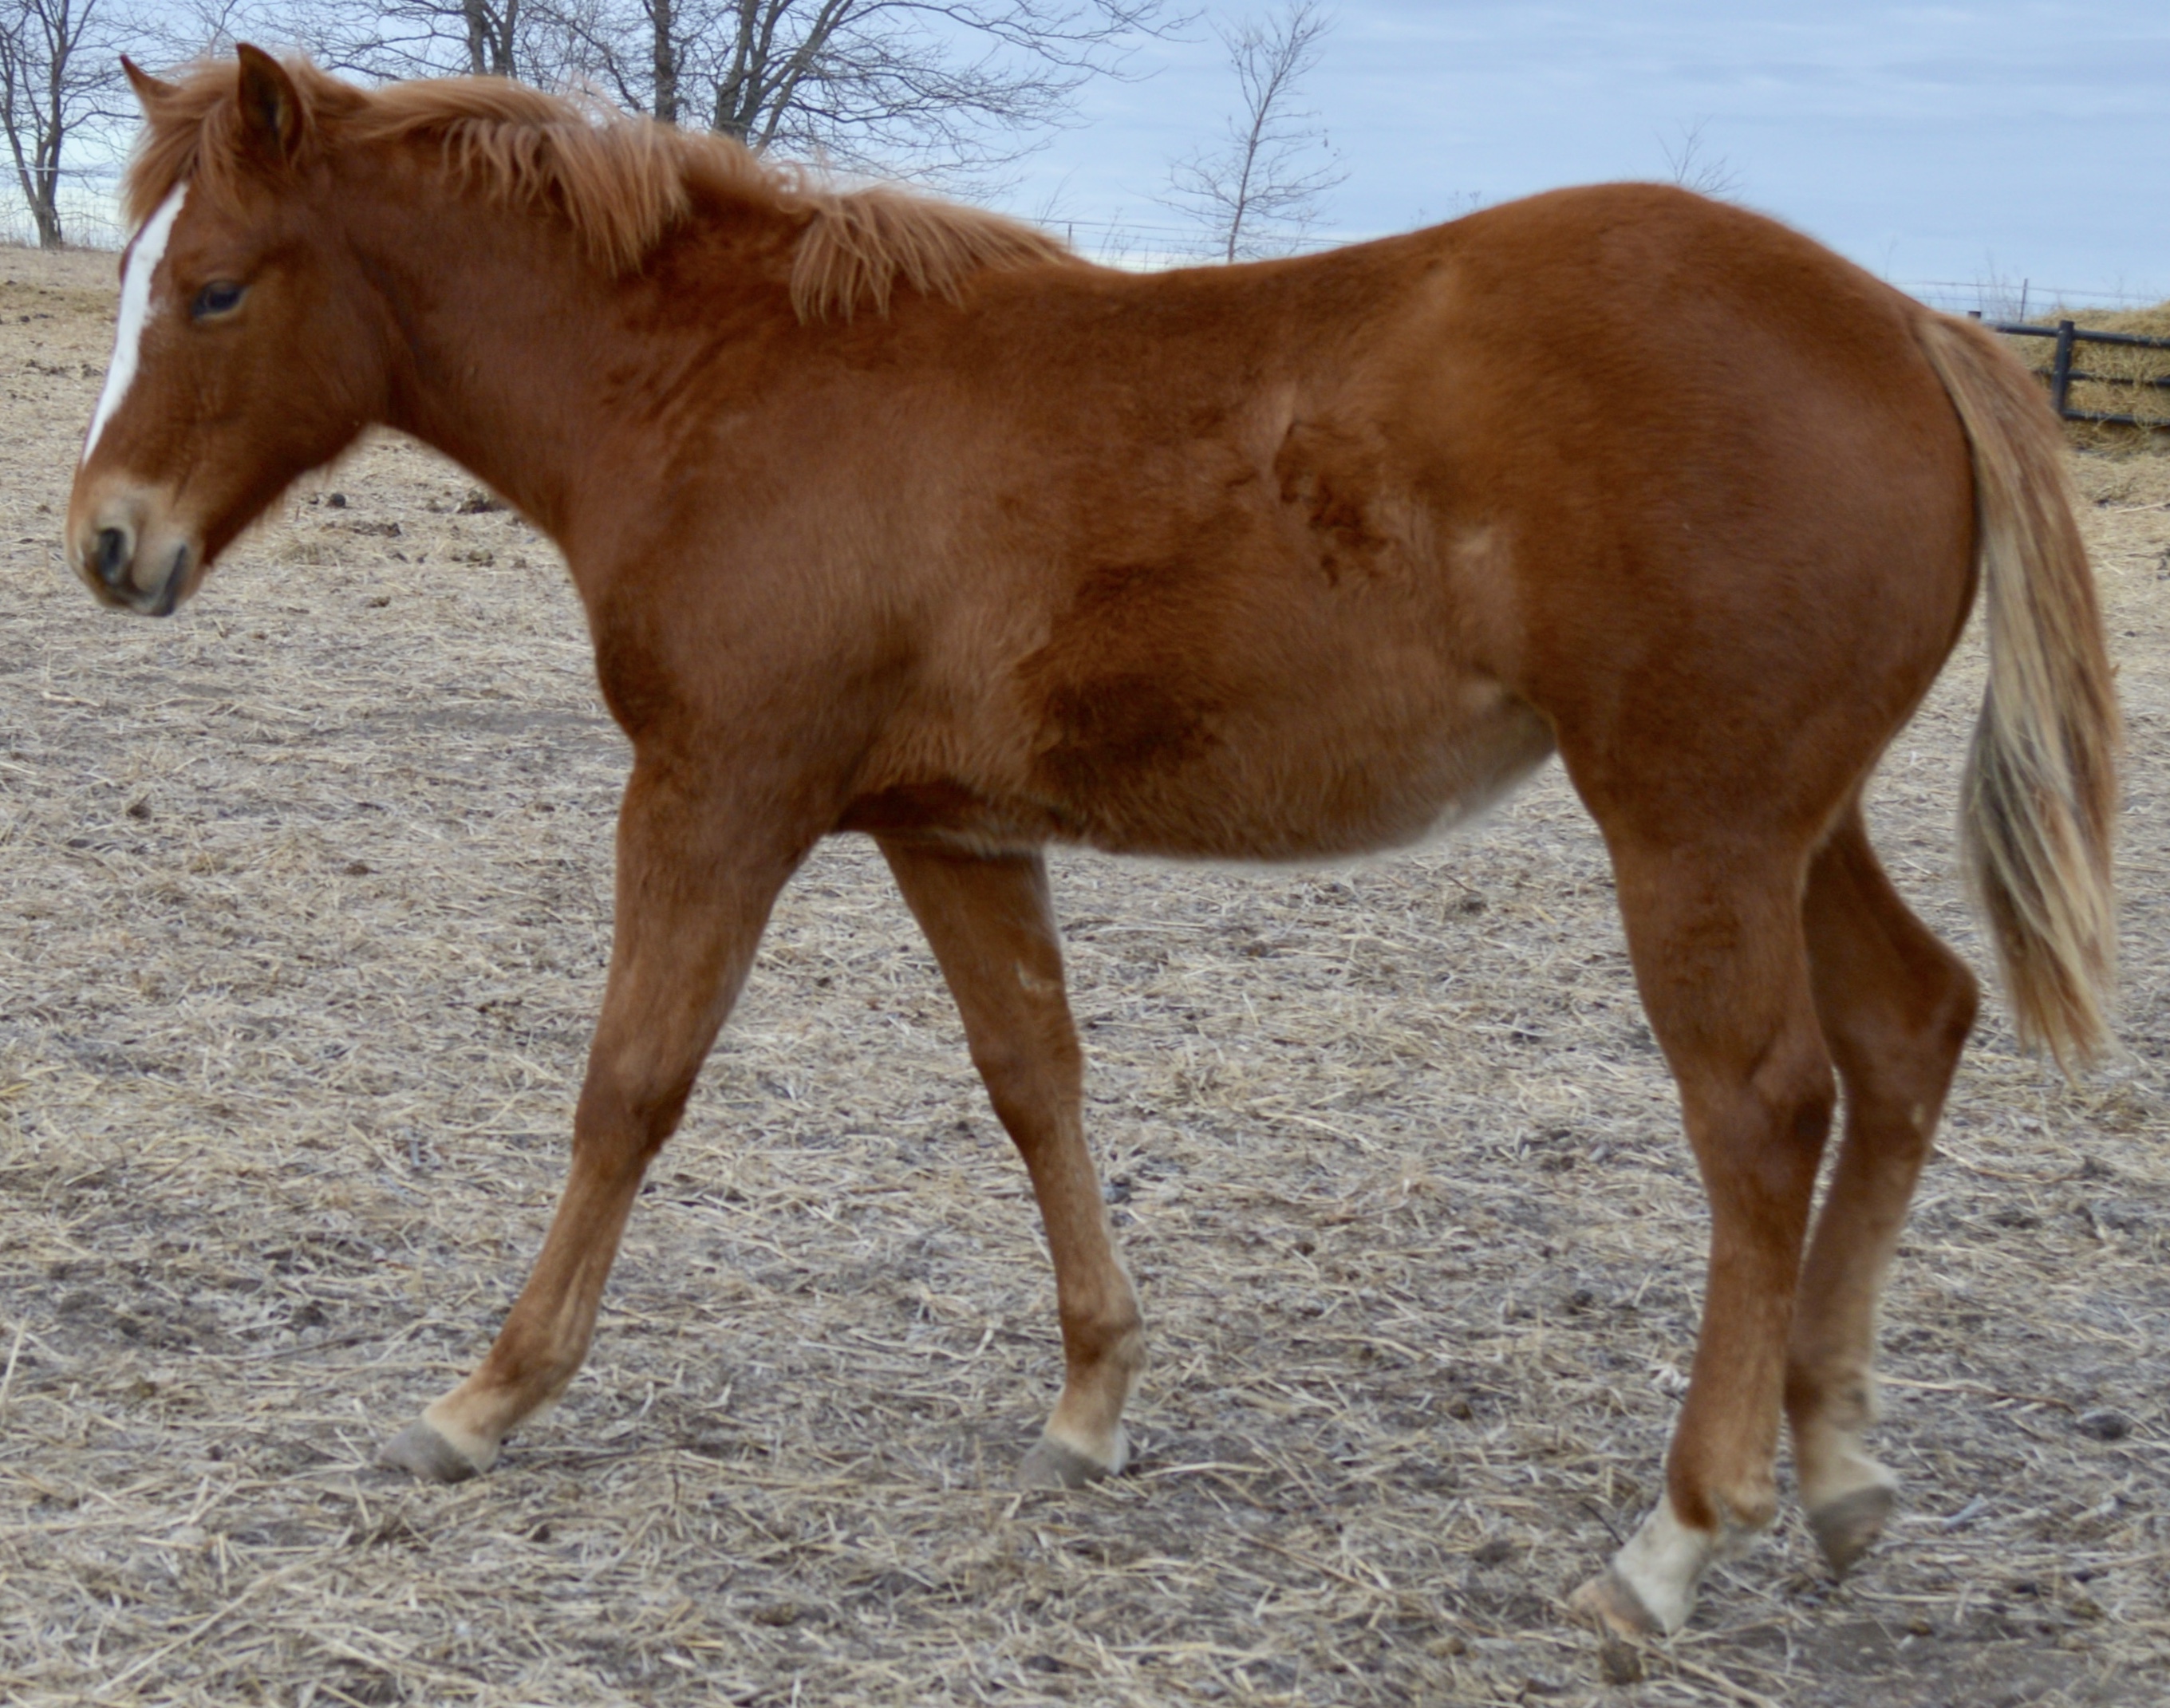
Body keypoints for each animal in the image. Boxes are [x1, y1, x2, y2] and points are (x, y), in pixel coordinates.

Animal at [69, 47, 2117, 1639]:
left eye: (218, 290)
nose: (105, 540)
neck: (729, 387)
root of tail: (1910, 323)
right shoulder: (947, 831)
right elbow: (1033, 1076)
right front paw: (1089, 1402)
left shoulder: (720, 790)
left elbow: (630, 1083)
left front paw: (484, 1395)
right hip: (1792, 823)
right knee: (1908, 1032)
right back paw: (1838, 1465)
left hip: (1693, 826)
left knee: (1764, 1109)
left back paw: (1673, 1539)